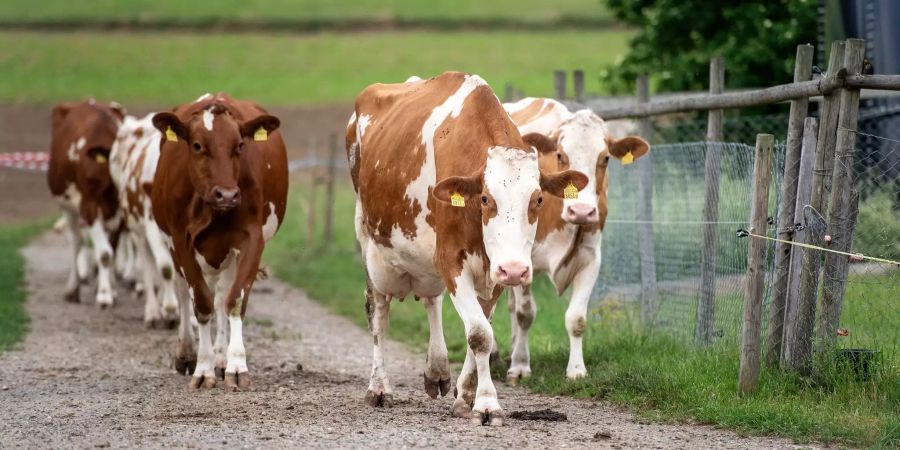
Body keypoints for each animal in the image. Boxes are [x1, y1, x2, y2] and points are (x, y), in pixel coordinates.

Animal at [48, 100, 125, 308]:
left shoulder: (121, 215)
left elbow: (112, 250)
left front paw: (108, 289)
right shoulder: (89, 207)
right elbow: (105, 253)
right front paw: (104, 295)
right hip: (68, 207)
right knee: (77, 242)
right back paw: (72, 289)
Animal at [108, 112, 179, 328]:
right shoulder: (151, 226)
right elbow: (166, 268)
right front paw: (170, 310)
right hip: (138, 231)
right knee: (147, 265)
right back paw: (153, 311)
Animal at [149, 93, 286, 388]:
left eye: (239, 145)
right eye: (197, 145)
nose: (227, 195)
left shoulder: (251, 239)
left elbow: (233, 300)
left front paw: (235, 364)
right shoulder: (180, 241)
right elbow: (201, 304)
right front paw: (203, 368)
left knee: (223, 294)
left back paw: (221, 357)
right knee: (182, 290)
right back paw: (187, 353)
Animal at [346, 73, 592, 426]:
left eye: (538, 199)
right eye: (486, 198)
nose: (516, 270)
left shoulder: (496, 271)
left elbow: (481, 331)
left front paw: (466, 396)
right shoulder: (451, 259)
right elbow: (479, 334)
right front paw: (487, 405)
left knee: (431, 300)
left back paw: (436, 370)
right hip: (370, 244)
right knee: (378, 312)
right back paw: (379, 387)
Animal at [502, 96, 652, 382]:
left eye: (605, 158)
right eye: (560, 155)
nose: (581, 211)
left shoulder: (590, 259)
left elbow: (576, 318)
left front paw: (576, 369)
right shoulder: (522, 260)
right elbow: (525, 313)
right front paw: (520, 365)